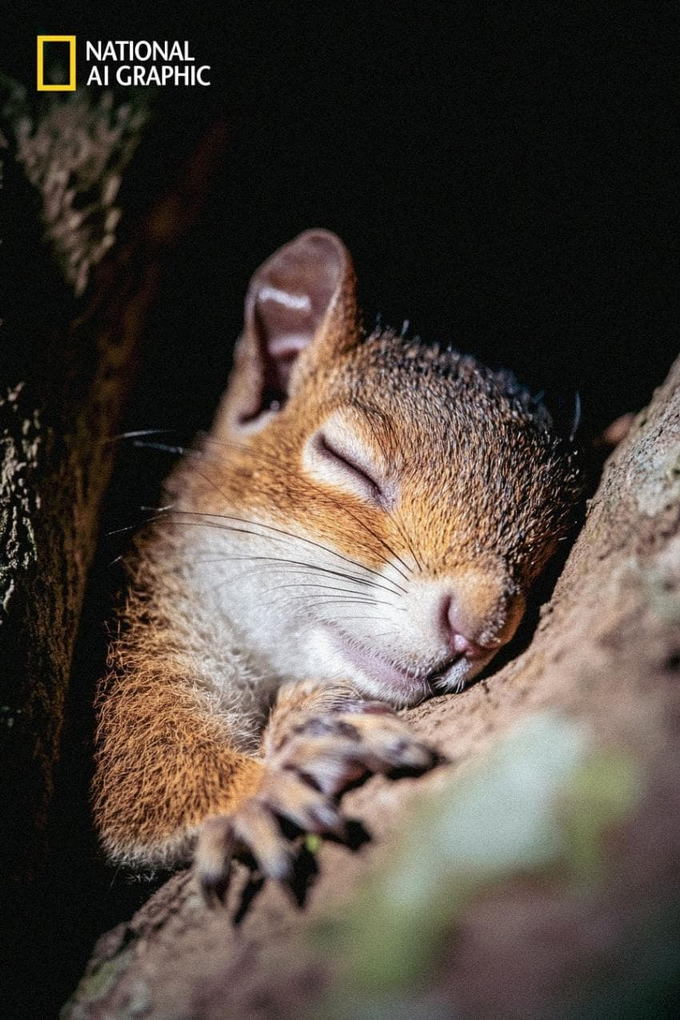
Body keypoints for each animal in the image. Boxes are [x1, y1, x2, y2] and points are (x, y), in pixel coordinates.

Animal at [93, 227, 587, 897]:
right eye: (348, 462)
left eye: (546, 557)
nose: (478, 628)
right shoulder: (146, 629)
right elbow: (141, 762)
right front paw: (260, 787)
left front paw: (304, 720)